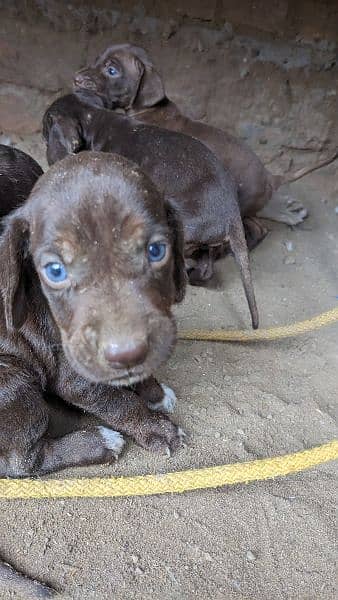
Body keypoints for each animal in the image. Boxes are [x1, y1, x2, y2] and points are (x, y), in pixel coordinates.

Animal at [0, 151, 187, 482]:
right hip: (13, 384)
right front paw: (155, 428)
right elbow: (119, 403)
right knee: (21, 462)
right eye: (55, 270)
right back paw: (99, 442)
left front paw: (153, 391)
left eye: (156, 250)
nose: (126, 353)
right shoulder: (78, 377)